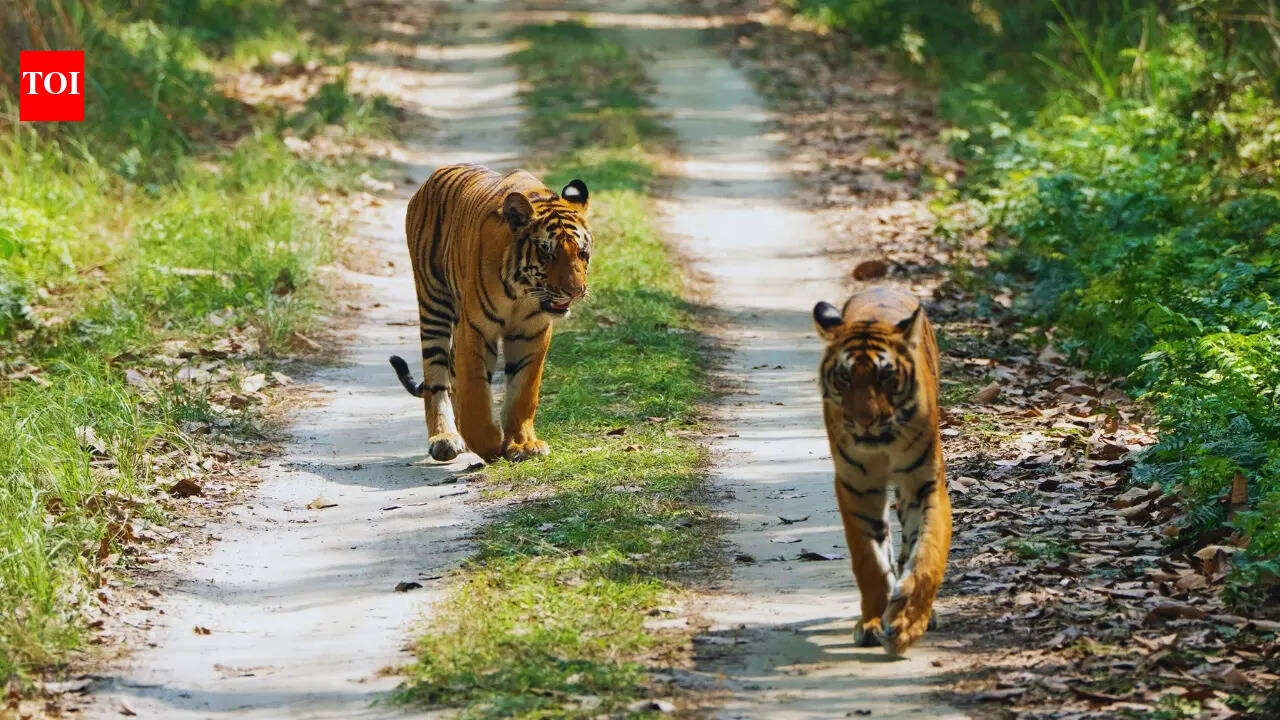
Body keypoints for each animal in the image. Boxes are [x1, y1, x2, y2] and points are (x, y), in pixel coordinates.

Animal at [388, 163, 591, 463]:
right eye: (547, 253)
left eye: (582, 253)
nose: (575, 292)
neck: (522, 293)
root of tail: (433, 177)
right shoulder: (476, 328)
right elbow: (474, 391)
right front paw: (488, 444)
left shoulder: (532, 332)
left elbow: (524, 391)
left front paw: (522, 444)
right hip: (433, 300)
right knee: (436, 377)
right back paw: (445, 438)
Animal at [813, 286, 952, 656]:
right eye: (845, 377)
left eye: (886, 377)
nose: (865, 421)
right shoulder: (857, 486)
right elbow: (870, 561)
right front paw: (874, 622)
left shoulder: (924, 482)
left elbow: (927, 553)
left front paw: (907, 622)